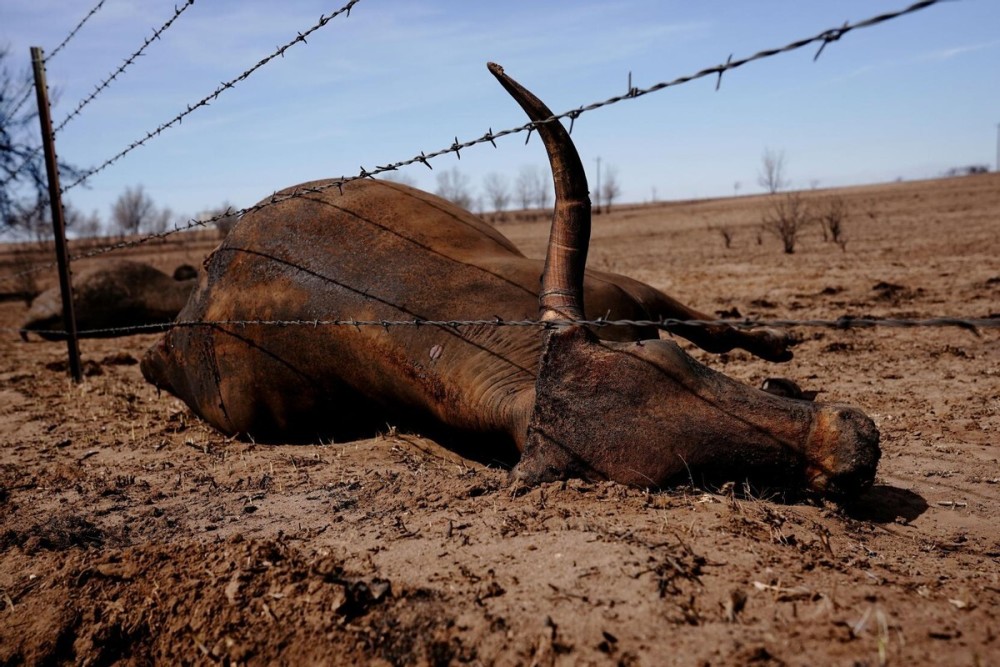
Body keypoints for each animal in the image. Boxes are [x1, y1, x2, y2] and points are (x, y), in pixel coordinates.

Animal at [145, 64, 880, 496]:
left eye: (666, 358)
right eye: (680, 476)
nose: (852, 445)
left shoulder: (628, 292)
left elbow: (716, 328)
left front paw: (779, 356)